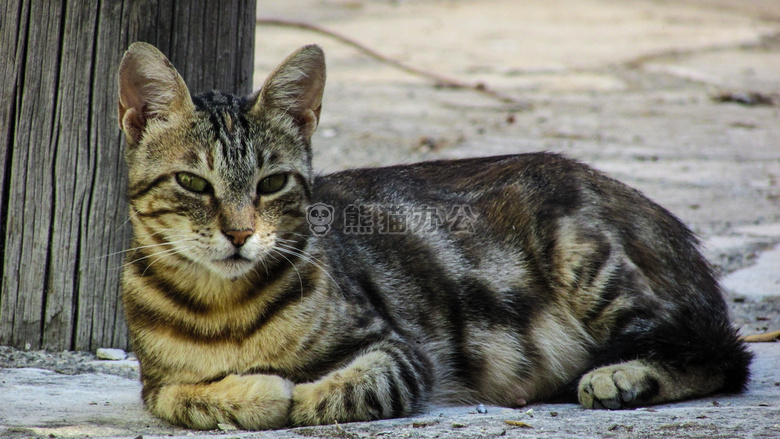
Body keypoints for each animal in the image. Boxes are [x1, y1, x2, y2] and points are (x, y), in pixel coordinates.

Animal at [116, 43, 748, 432]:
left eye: (271, 183)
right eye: (193, 182)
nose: (240, 232)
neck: (222, 307)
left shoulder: (402, 350)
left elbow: (347, 390)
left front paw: (299, 393)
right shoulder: (154, 382)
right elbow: (180, 397)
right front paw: (250, 392)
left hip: (583, 253)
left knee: (722, 354)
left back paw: (623, 375)